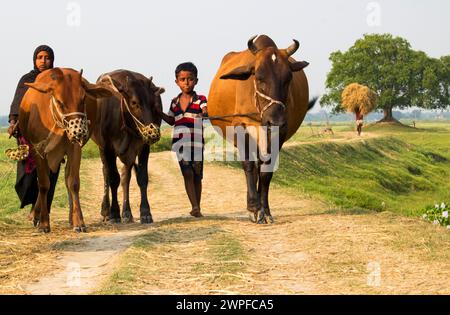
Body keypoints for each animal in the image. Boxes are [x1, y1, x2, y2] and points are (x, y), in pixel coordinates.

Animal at [18, 68, 112, 233]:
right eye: (60, 102)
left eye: (83, 99)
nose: (79, 132)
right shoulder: (38, 151)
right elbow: (43, 185)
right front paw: (44, 223)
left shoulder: (75, 149)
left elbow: (73, 182)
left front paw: (79, 221)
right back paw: (36, 215)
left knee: (67, 178)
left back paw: (70, 217)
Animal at [89, 70, 164, 225]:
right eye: (134, 102)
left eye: (153, 103)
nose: (153, 133)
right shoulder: (107, 148)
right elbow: (113, 179)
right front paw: (114, 213)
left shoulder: (143, 147)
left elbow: (142, 178)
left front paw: (145, 213)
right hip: (102, 149)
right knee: (106, 173)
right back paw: (106, 211)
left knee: (125, 177)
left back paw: (127, 213)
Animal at [208, 34, 316, 225]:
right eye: (258, 77)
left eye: (288, 78)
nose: (275, 119)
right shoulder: (241, 128)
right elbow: (248, 166)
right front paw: (253, 208)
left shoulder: (279, 133)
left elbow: (266, 172)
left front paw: (265, 211)